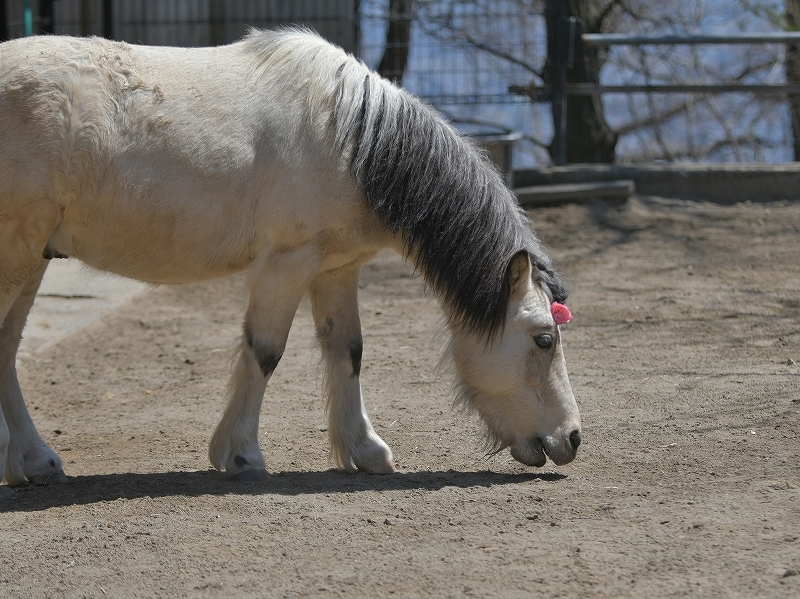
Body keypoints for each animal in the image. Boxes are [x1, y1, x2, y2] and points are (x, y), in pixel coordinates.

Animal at [0, 29, 580, 488]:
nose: (572, 438)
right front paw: (240, 455)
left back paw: (33, 462)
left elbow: (348, 351)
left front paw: (364, 451)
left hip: (31, 262)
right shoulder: (287, 264)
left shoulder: (337, 269)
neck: (353, 140)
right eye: (543, 339)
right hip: (17, 258)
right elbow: (265, 351)